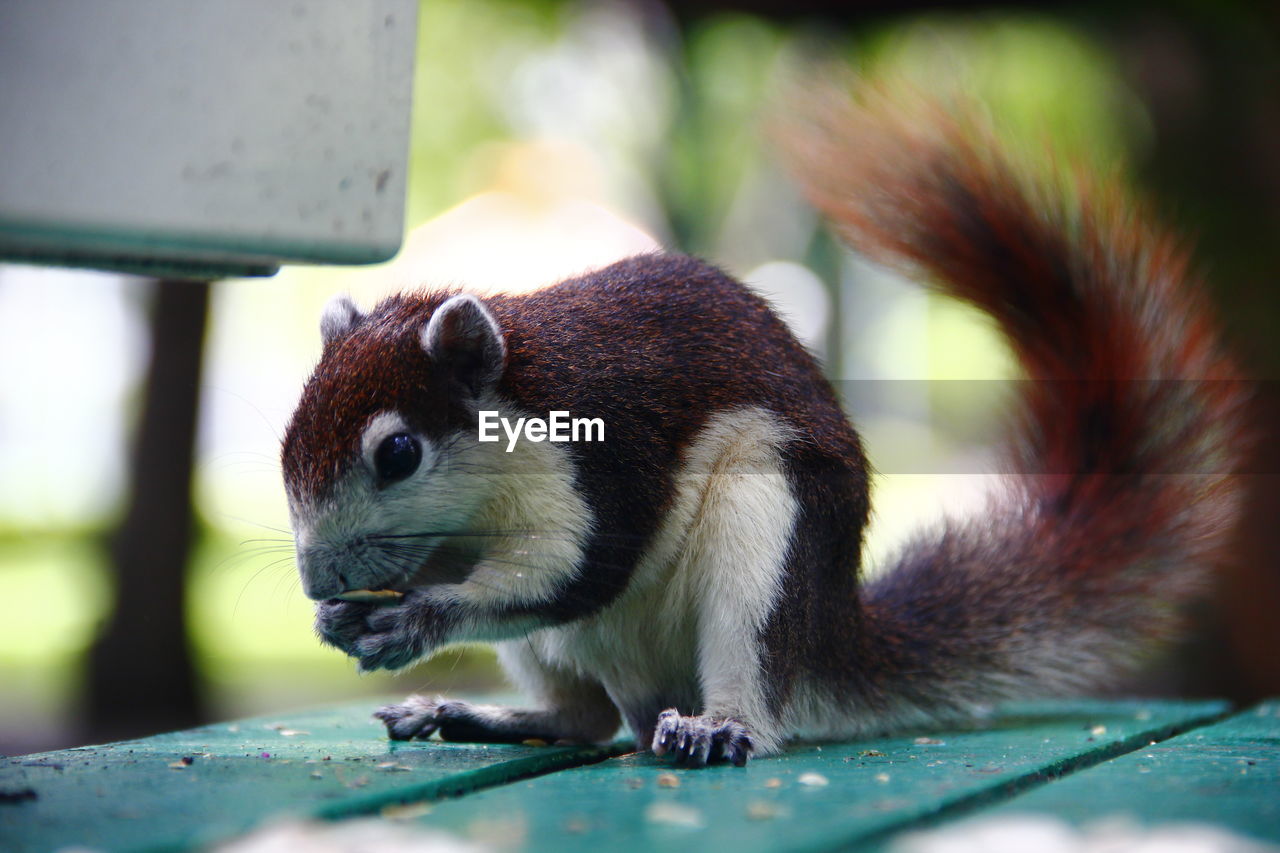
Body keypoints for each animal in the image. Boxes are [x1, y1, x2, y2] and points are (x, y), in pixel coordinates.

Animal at [282, 87, 1249, 763]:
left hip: (769, 531)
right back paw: (466, 712)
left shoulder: (604, 462)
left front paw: (418, 618)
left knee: (723, 684)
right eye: (287, 442)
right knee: (583, 715)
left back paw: (717, 728)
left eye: (398, 451)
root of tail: (833, 633)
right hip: (563, 653)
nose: (315, 576)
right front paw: (344, 618)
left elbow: (571, 569)